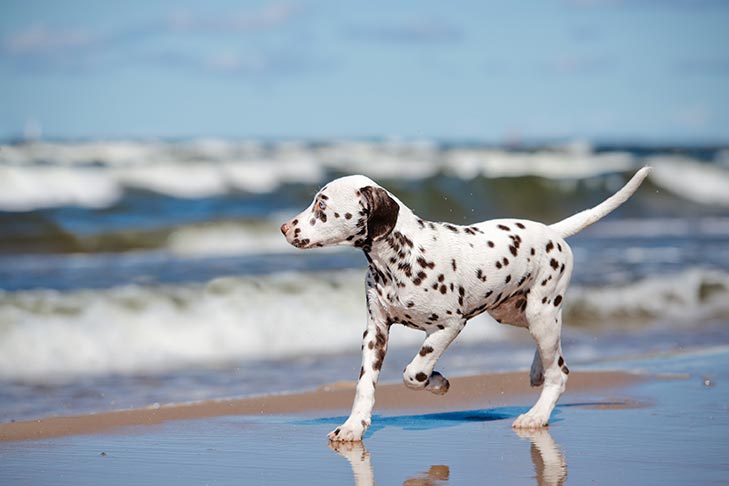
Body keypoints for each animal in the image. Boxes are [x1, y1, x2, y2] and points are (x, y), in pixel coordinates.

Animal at [280, 166, 656, 440]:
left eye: (322, 205)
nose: (284, 227)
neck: (399, 258)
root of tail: (553, 232)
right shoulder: (375, 332)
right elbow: (364, 386)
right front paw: (353, 427)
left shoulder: (449, 325)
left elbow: (414, 372)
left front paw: (437, 382)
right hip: (511, 311)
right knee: (551, 355)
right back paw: (536, 371)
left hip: (541, 312)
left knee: (560, 372)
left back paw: (536, 415)